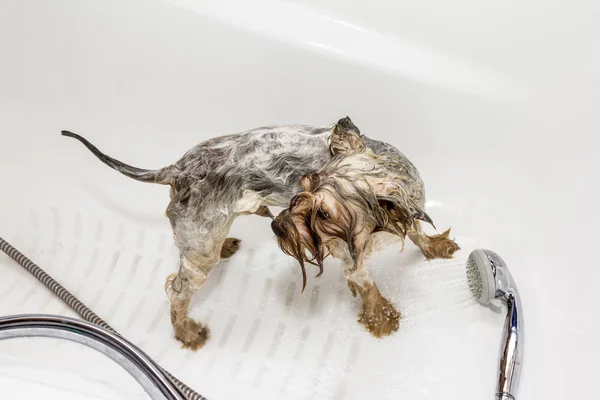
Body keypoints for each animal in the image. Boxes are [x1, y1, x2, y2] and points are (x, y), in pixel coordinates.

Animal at [272, 119, 460, 338]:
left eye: (323, 214)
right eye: (305, 187)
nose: (276, 226)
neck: (378, 230)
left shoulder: (409, 211)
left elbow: (417, 233)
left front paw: (434, 245)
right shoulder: (352, 260)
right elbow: (368, 286)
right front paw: (381, 316)